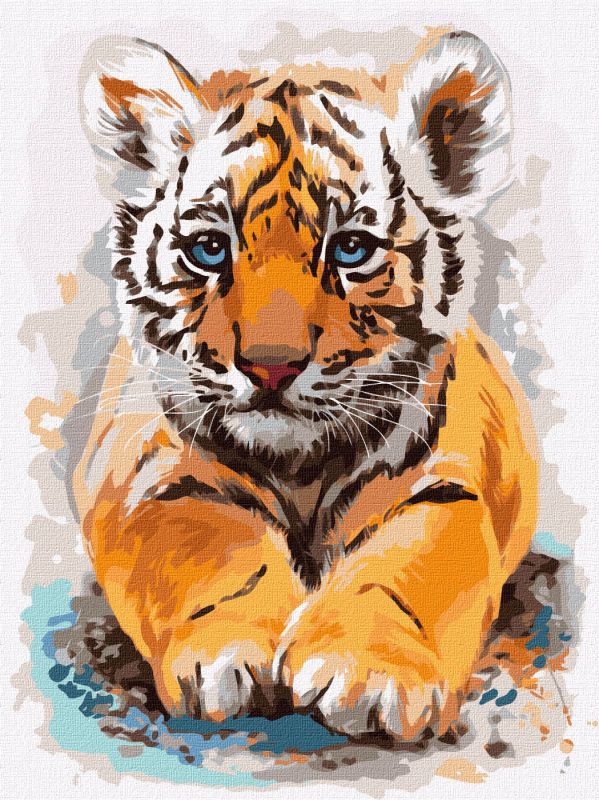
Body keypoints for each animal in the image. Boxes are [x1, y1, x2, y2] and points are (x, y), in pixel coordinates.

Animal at [73, 29, 538, 741]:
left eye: (350, 249)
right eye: (209, 249)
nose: (271, 365)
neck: (300, 467)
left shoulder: (445, 482)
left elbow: (404, 568)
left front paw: (369, 672)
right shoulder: (148, 473)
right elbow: (215, 548)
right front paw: (230, 651)